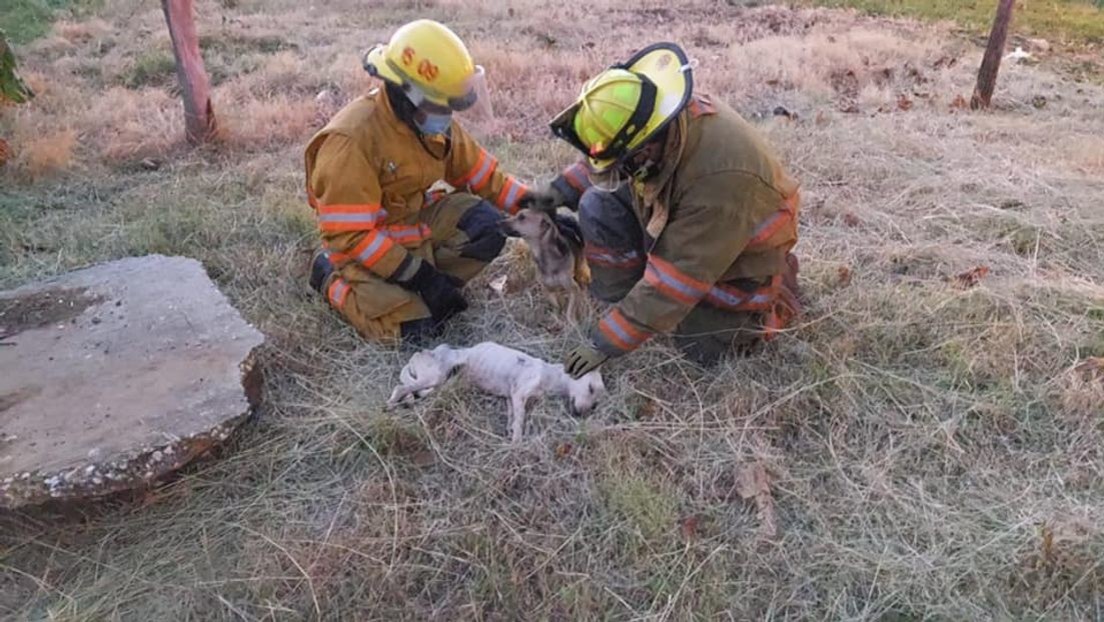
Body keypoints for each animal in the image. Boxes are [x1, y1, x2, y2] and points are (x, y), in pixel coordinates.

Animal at [388, 342, 609, 439]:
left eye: (596, 404)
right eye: (590, 389)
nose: (582, 414)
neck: (549, 375)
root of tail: (418, 354)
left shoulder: (511, 397)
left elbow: (512, 418)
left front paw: (510, 432)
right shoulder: (519, 394)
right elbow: (520, 422)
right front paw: (516, 444)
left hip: (440, 385)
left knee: (413, 392)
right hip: (435, 377)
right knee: (400, 387)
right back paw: (391, 403)